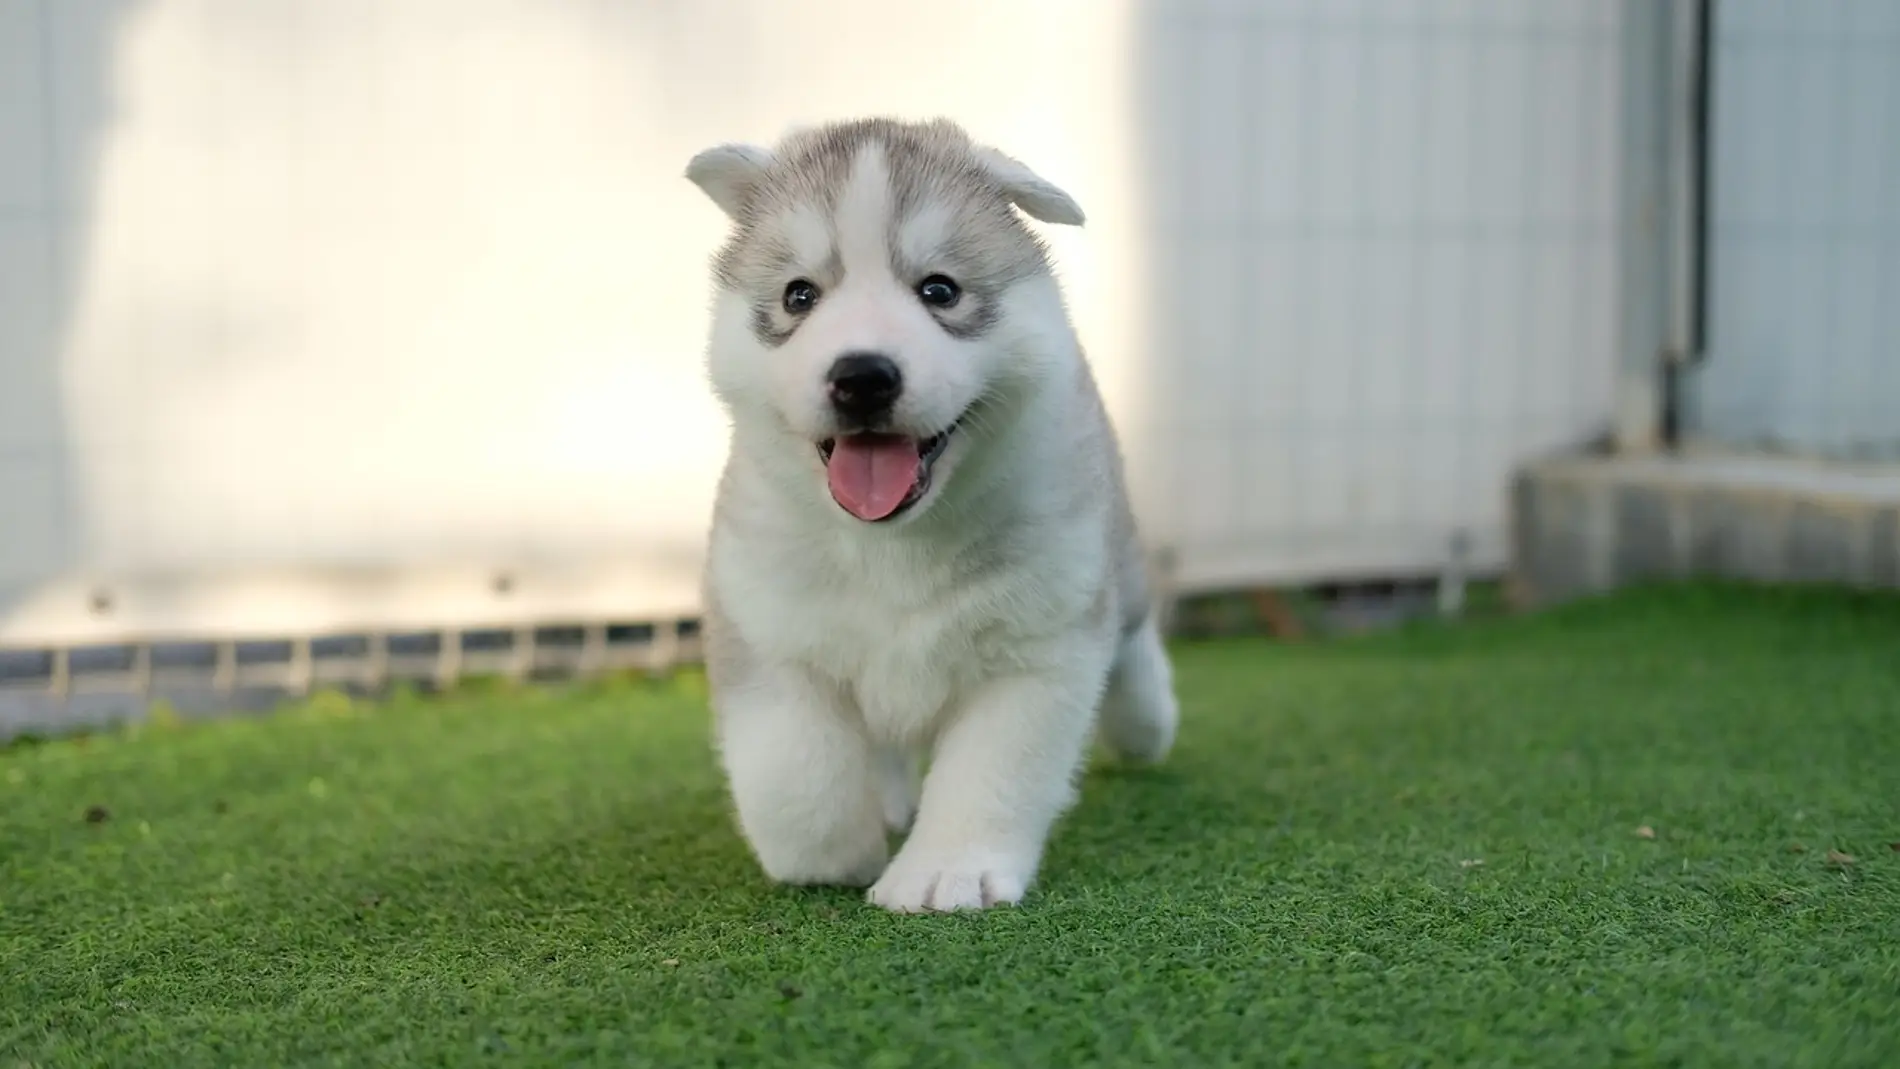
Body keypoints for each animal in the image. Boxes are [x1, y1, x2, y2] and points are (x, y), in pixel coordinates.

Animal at [684, 121, 1178, 915]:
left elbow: (991, 772)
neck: (892, 545)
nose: (861, 376)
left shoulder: (1038, 646)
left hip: (1114, 563)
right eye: (799, 295)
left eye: (939, 290)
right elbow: (793, 769)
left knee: (1133, 638)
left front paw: (947, 871)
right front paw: (830, 856)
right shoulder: (766, 623)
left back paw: (1145, 723)